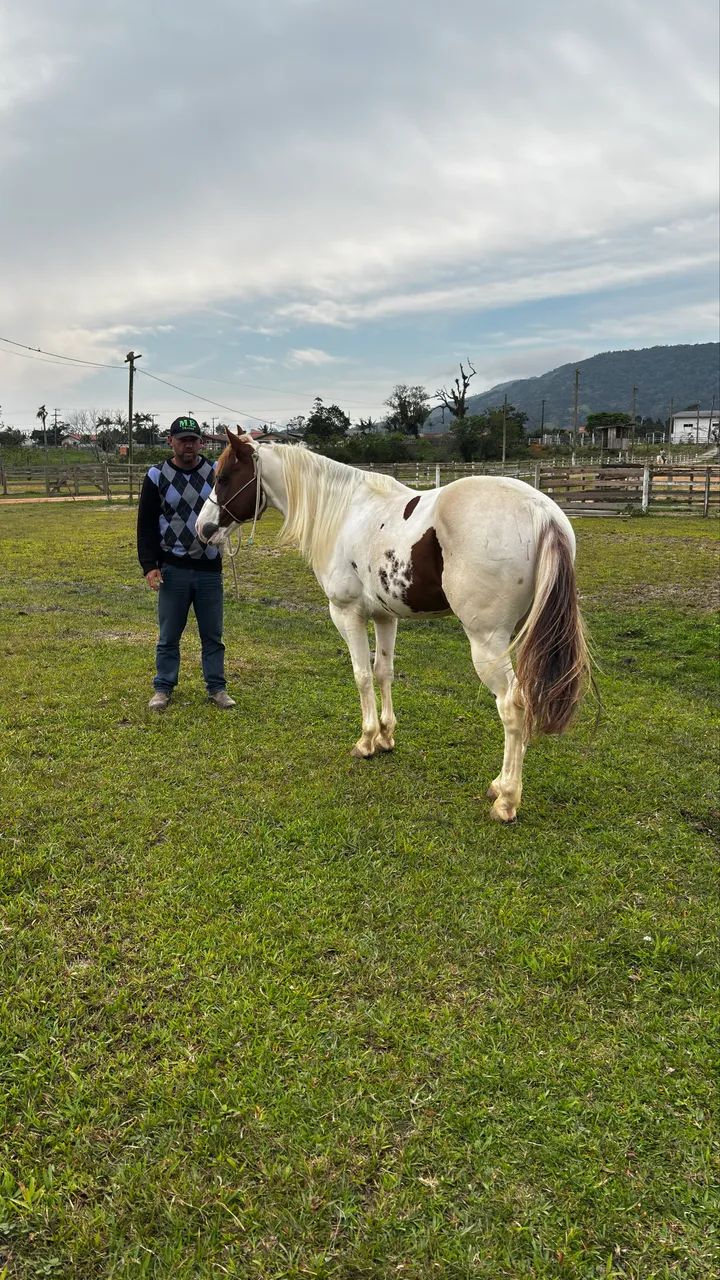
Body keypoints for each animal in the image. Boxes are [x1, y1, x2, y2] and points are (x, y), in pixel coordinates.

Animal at [196, 432, 592, 821]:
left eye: (224, 477)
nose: (203, 529)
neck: (345, 512)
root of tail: (543, 514)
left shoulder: (347, 614)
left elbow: (361, 675)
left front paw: (366, 741)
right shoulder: (385, 617)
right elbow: (383, 671)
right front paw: (386, 737)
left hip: (488, 643)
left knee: (513, 705)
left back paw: (506, 799)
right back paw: (501, 785)